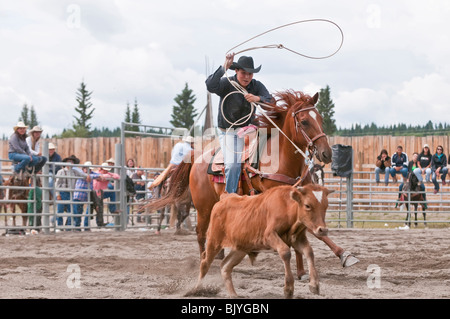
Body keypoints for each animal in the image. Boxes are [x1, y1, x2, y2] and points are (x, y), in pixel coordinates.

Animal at [146, 90, 360, 278]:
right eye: (305, 121)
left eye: (321, 119)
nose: (327, 153)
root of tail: (196, 155)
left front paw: (339, 257)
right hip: (203, 207)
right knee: (200, 233)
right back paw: (205, 261)